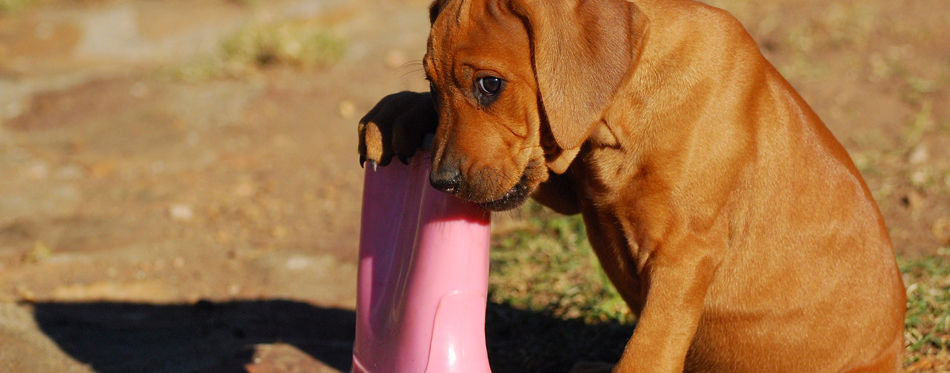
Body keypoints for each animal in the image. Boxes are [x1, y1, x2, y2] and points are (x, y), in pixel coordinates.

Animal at [356, 0, 908, 370]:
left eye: (489, 85)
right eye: (432, 86)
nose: (441, 181)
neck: (623, 109)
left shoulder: (686, 256)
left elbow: (647, 353)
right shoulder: (569, 174)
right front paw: (394, 116)